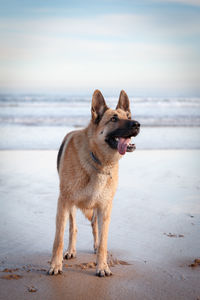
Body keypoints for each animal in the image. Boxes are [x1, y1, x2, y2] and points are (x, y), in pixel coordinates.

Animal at [47, 89, 140, 276]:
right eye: (114, 119)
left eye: (128, 116)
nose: (137, 124)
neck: (97, 160)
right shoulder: (64, 202)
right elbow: (58, 239)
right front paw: (55, 265)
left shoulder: (105, 207)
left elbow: (104, 240)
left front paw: (102, 265)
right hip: (70, 206)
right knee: (73, 228)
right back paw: (71, 251)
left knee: (95, 227)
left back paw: (96, 247)